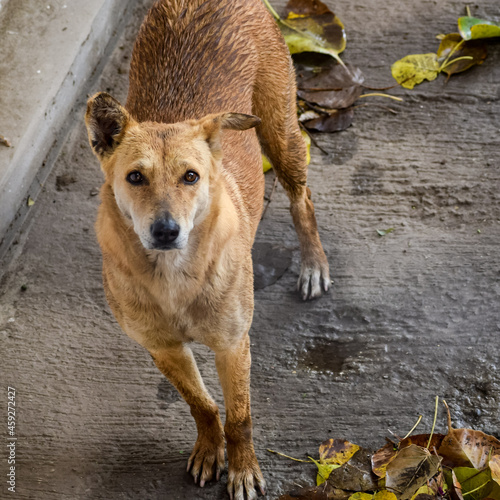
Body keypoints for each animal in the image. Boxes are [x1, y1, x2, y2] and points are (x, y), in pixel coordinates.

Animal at [84, 0, 330, 496]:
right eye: (134, 177)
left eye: (191, 176)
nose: (165, 230)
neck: (173, 274)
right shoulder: (164, 350)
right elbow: (202, 404)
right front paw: (208, 451)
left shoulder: (233, 345)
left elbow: (239, 416)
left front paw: (243, 470)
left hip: (282, 131)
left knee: (302, 199)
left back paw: (313, 264)